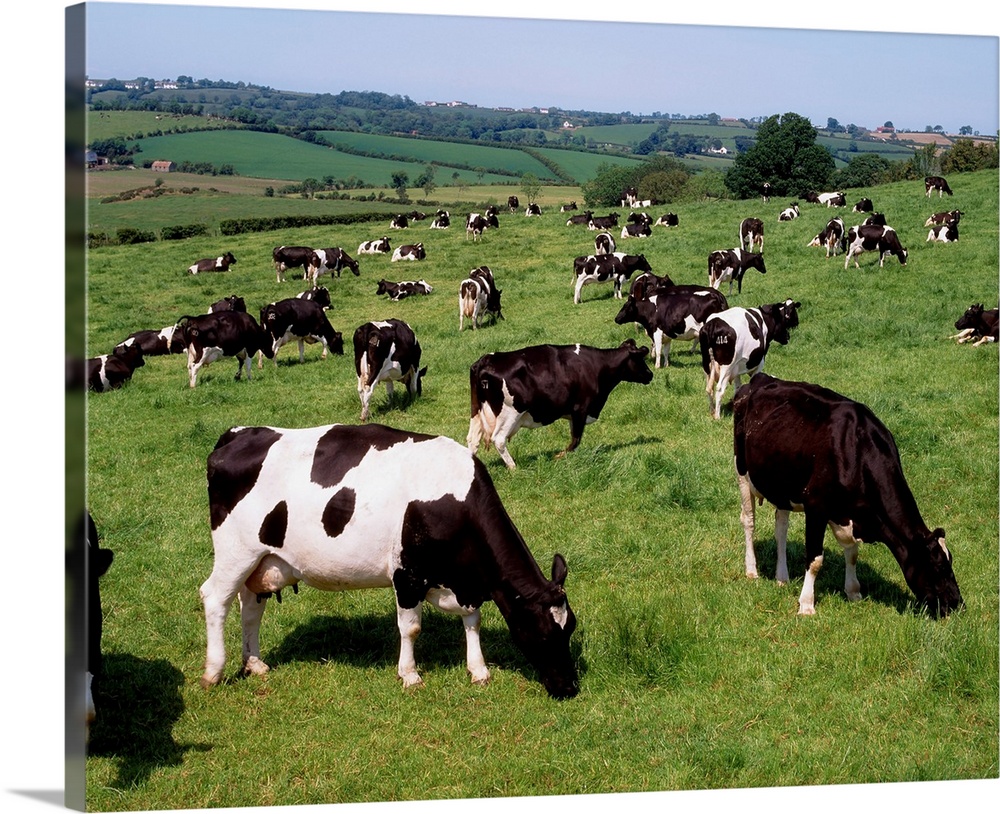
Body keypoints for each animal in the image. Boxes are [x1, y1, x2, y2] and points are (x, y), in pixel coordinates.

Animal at [199, 424, 579, 698]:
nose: (569, 688)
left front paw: (479, 670)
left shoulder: (465, 580)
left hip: (262, 561)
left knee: (250, 607)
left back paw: (254, 663)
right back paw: (214, 672)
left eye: (570, 628)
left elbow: (473, 621)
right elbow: (411, 628)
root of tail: (238, 433)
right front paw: (410, 675)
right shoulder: (407, 576)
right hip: (236, 552)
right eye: (543, 633)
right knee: (215, 598)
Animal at [467, 339, 653, 470]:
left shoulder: (573, 413)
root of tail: (485, 360)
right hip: (510, 412)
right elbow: (576, 440)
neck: (597, 367)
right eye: (640, 360)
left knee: (472, 440)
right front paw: (558, 456)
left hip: (477, 412)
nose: (650, 374)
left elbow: (574, 439)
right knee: (498, 439)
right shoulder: (580, 408)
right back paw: (513, 467)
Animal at [732, 373, 964, 617]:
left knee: (781, 527)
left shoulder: (848, 512)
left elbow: (852, 553)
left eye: (950, 561)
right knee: (749, 521)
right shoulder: (816, 507)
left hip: (782, 483)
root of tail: (760, 378)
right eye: (939, 566)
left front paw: (853, 592)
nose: (957, 603)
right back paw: (752, 570)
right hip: (742, 471)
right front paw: (806, 604)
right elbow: (815, 559)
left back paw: (782, 577)